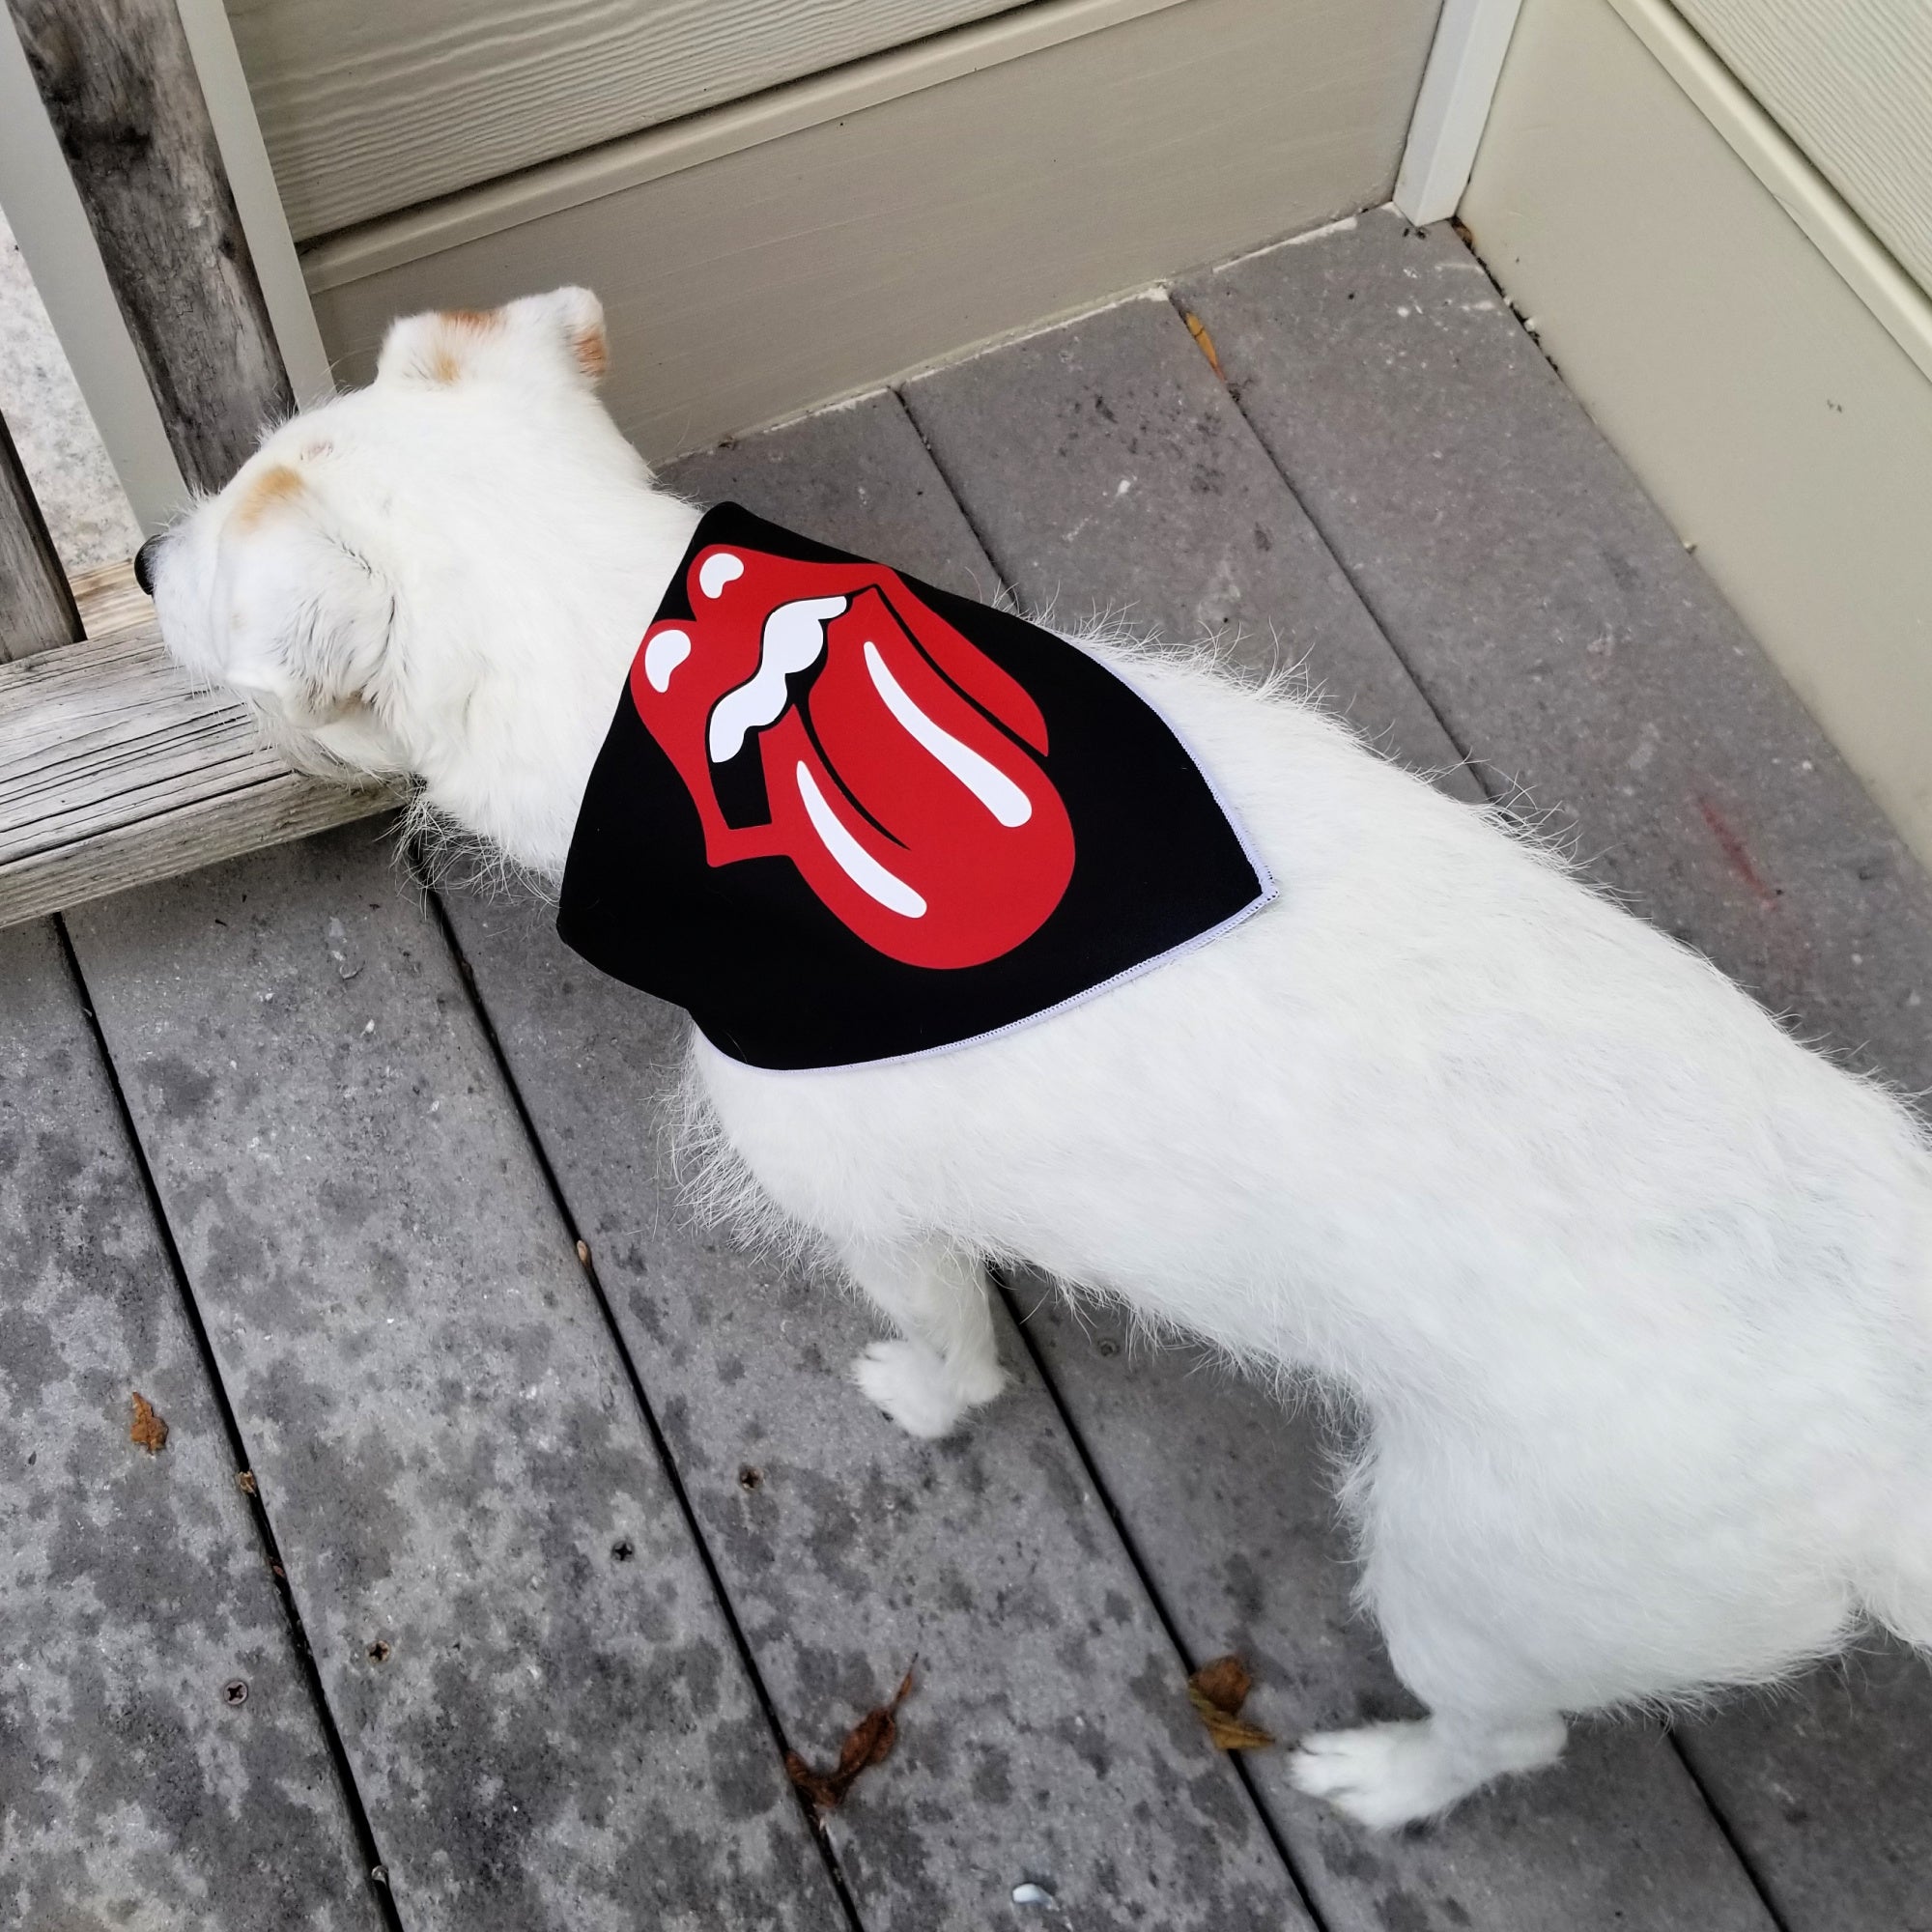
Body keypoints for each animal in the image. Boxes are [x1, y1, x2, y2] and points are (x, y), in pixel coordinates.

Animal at [147, 286, 1932, 1824]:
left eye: (214, 567)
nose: (148, 548)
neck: (658, 685)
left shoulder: (876, 1210)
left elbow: (952, 1352)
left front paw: (922, 1398)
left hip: (1474, 1579)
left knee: (1517, 1734)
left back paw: (1378, 1780)